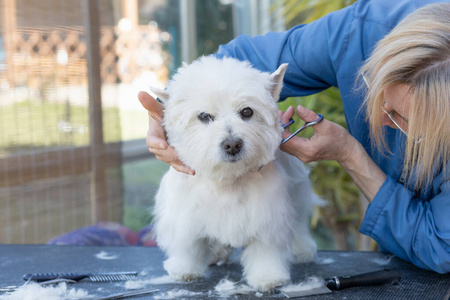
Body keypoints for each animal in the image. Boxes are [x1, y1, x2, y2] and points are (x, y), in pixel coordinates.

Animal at [151, 56, 320, 290]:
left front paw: (268, 277)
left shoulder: (268, 217)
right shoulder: (184, 215)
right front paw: (185, 270)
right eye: (204, 116)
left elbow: (265, 250)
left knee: (300, 223)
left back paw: (302, 250)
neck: (226, 179)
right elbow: (189, 245)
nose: (232, 144)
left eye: (247, 112)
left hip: (298, 193)